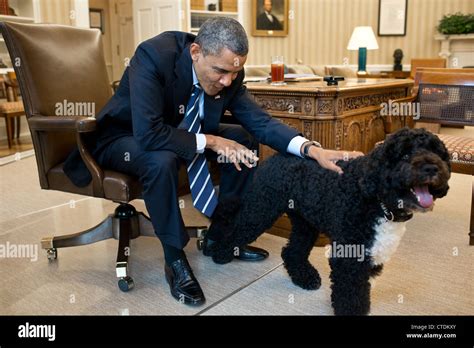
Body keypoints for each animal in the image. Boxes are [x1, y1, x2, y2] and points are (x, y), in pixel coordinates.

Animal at [206, 128, 450, 316]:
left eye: (437, 152)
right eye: (405, 154)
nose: (431, 168)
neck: (376, 197)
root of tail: (275, 157)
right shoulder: (348, 255)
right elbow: (351, 295)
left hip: (305, 222)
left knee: (292, 251)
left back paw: (305, 278)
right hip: (261, 209)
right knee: (236, 230)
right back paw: (219, 253)